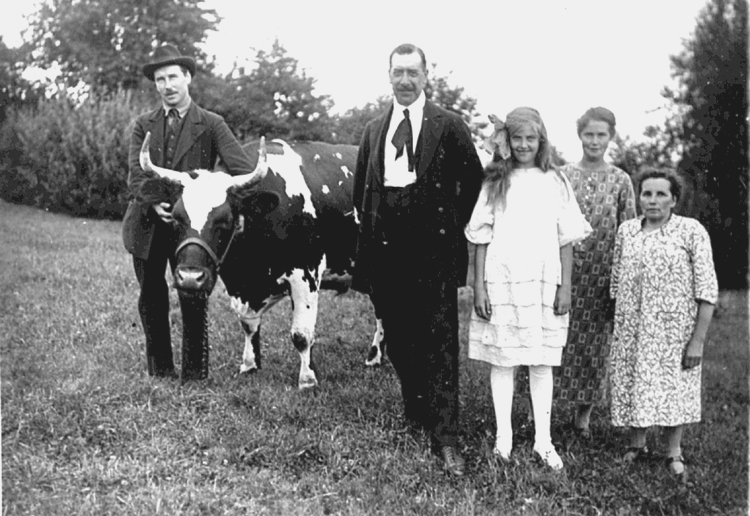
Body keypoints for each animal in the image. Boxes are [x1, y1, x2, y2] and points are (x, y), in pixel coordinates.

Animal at [135, 132, 385, 388]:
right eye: (175, 218)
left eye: (225, 220)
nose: (190, 277)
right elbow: (249, 324)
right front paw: (249, 365)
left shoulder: (307, 272)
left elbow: (301, 334)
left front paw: (307, 379)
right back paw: (374, 358)